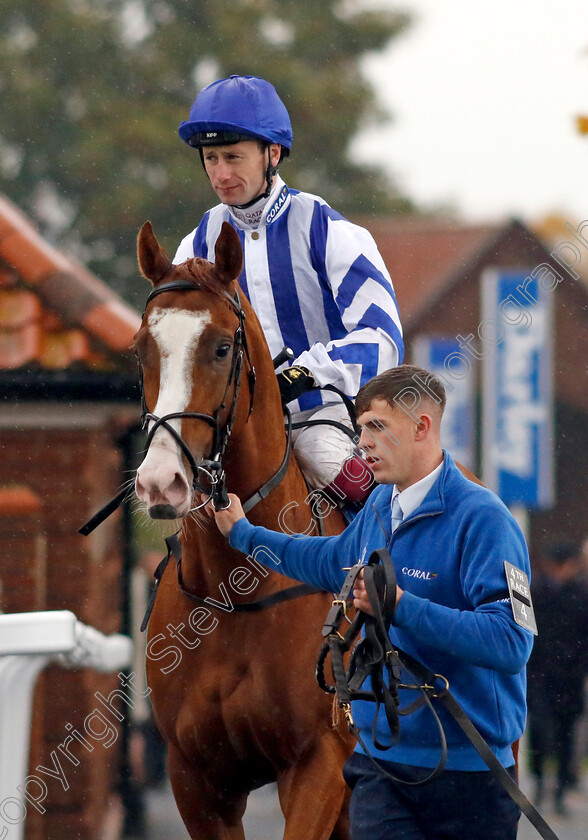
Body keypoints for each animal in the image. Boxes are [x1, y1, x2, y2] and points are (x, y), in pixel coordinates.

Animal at [134, 221, 354, 840]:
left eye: (221, 347)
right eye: (141, 349)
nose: (161, 482)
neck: (233, 592)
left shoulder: (317, 762)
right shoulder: (195, 779)